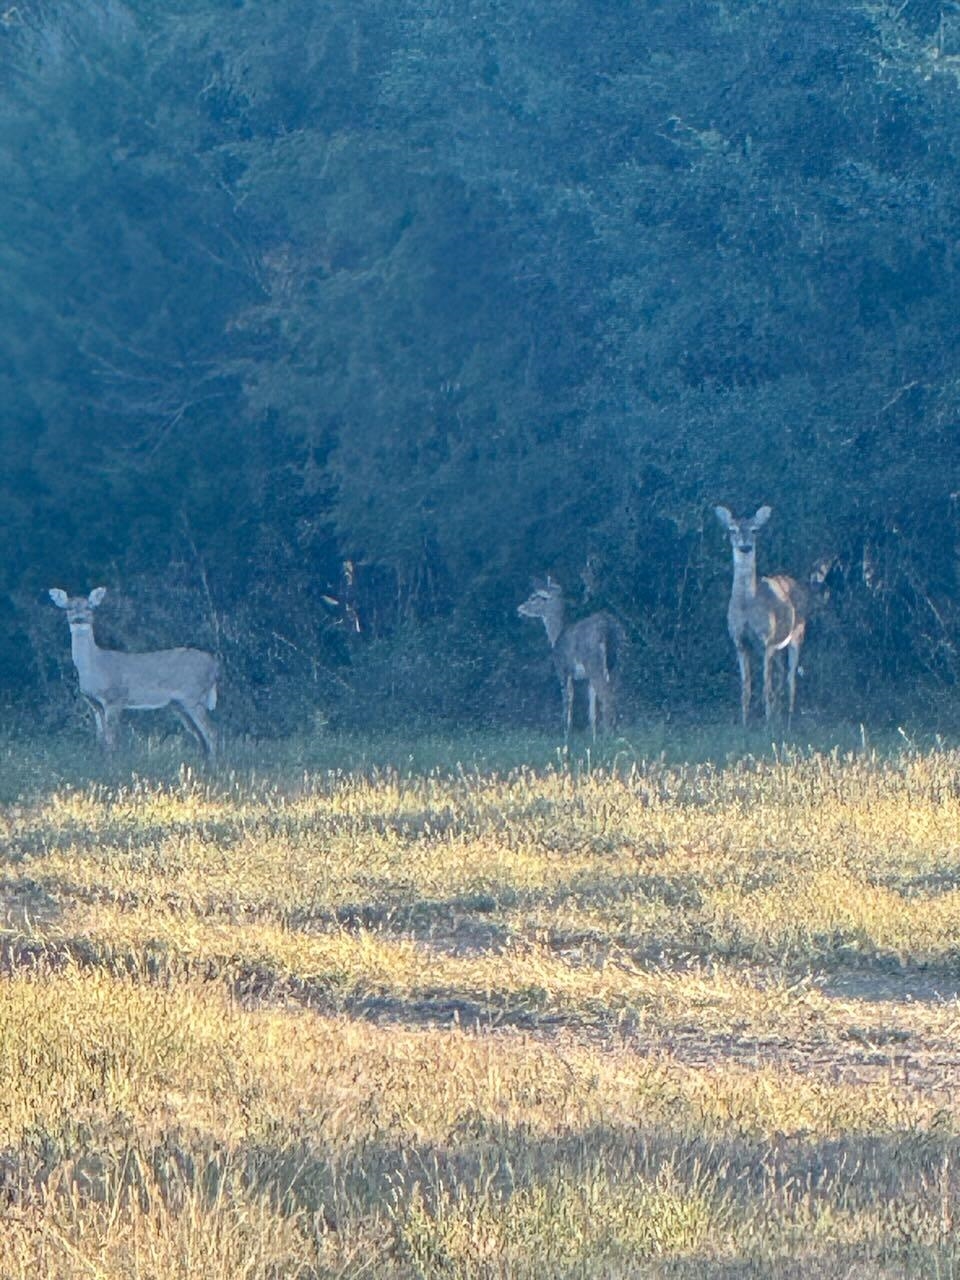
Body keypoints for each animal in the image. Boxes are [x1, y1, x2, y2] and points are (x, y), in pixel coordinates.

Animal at [50, 588, 221, 757]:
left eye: (89, 607)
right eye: (69, 608)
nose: (79, 619)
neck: (94, 667)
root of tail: (214, 664)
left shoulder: (115, 698)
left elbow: (111, 740)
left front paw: (113, 762)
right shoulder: (94, 704)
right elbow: (101, 740)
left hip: (193, 696)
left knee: (211, 733)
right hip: (179, 704)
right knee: (200, 736)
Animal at [519, 578, 624, 747]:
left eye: (534, 597)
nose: (520, 608)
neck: (556, 636)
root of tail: (608, 630)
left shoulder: (563, 670)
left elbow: (567, 703)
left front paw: (566, 739)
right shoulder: (586, 678)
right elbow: (591, 711)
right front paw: (593, 740)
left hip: (594, 663)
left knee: (607, 697)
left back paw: (609, 737)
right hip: (616, 665)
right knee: (613, 696)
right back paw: (613, 734)